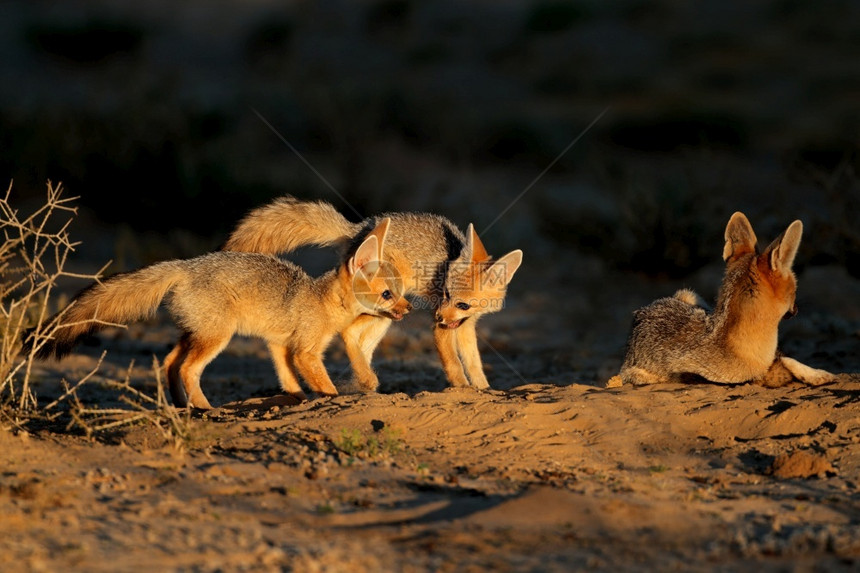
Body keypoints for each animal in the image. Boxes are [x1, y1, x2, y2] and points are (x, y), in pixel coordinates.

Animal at [23, 216, 406, 406]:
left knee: (169, 362)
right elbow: (323, 385)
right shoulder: (306, 351)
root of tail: (185, 265)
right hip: (217, 337)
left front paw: (295, 398)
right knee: (188, 369)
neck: (322, 298)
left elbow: (286, 378)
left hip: (196, 333)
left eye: (400, 292)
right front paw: (327, 400)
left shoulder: (279, 344)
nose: (406, 309)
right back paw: (205, 407)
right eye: (388, 295)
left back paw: (183, 406)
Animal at [220, 196, 524, 388]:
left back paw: (362, 384)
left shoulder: (465, 326)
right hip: (388, 310)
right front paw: (462, 388)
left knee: (359, 343)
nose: (438, 316)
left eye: (462, 304)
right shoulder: (442, 330)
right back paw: (364, 381)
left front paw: (483, 389)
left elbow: (474, 363)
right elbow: (454, 364)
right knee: (348, 331)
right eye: (445, 293)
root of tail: (359, 228)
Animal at [604, 212, 832, 386]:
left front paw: (817, 374)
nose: (796, 309)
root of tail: (642, 311)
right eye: (795, 291)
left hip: (690, 295)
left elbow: (786, 358)